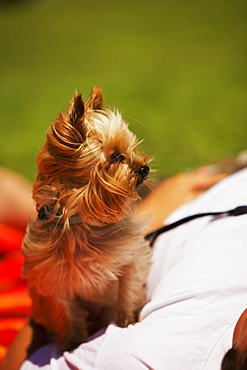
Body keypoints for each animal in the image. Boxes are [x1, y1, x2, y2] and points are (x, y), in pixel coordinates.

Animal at [22, 85, 151, 352]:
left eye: (130, 149)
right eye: (115, 157)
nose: (144, 168)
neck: (79, 222)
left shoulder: (130, 257)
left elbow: (128, 291)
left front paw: (127, 322)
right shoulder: (52, 282)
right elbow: (65, 313)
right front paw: (71, 343)